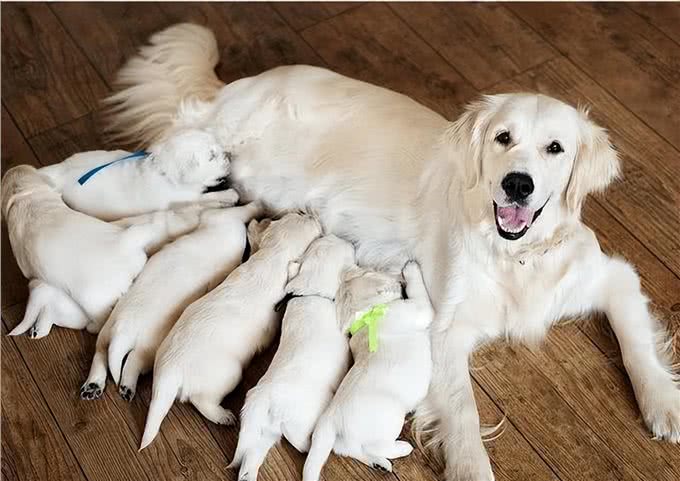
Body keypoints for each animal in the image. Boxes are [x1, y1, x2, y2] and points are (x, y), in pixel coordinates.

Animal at [39, 125, 238, 219]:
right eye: (211, 156)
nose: (229, 155)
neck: (163, 171)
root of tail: (60, 172)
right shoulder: (182, 198)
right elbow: (204, 198)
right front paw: (229, 195)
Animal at [139, 212, 322, 448]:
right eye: (310, 224)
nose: (307, 212)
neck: (272, 256)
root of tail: (168, 370)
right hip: (230, 373)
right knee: (201, 400)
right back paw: (223, 416)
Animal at [304, 262, 432, 480]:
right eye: (376, 275)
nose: (399, 282)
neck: (367, 316)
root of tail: (330, 419)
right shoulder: (418, 310)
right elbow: (421, 295)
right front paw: (411, 269)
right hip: (391, 416)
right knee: (376, 446)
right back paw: (402, 448)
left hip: (346, 441)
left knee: (353, 450)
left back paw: (379, 464)